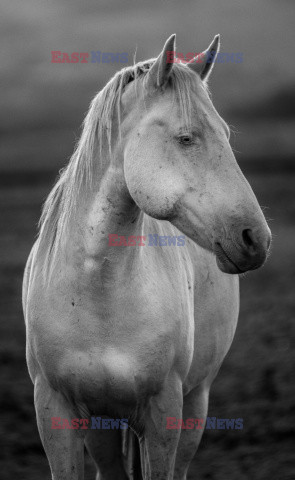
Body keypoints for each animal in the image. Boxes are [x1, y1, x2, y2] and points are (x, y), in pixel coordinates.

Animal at [23, 34, 272, 480]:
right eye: (186, 138)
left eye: (226, 134)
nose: (254, 238)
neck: (98, 292)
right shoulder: (55, 410)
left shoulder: (163, 410)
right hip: (103, 425)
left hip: (195, 401)